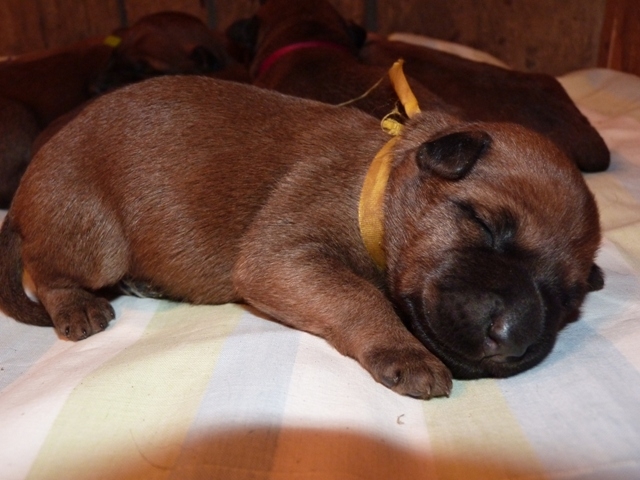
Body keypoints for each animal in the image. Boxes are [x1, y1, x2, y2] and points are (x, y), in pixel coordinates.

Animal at [0, 74, 603, 398]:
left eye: (567, 297)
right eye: (483, 224)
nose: (513, 337)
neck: (373, 187)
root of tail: (25, 191)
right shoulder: (286, 254)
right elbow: (359, 297)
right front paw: (402, 351)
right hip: (93, 235)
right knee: (47, 271)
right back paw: (78, 307)